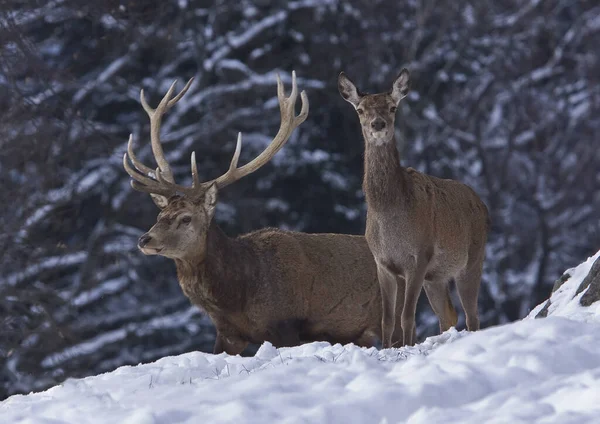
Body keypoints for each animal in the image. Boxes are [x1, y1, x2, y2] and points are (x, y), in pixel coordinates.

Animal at [123, 73, 400, 354]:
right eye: (159, 216)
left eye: (186, 218)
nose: (144, 239)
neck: (237, 297)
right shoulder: (228, 333)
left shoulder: (286, 325)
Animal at [338, 68, 488, 348]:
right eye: (360, 109)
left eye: (393, 107)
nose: (378, 124)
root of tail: (482, 204)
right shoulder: (383, 263)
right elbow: (387, 320)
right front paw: (388, 348)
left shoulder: (419, 256)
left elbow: (407, 317)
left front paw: (407, 346)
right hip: (437, 276)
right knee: (449, 314)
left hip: (473, 259)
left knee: (472, 315)